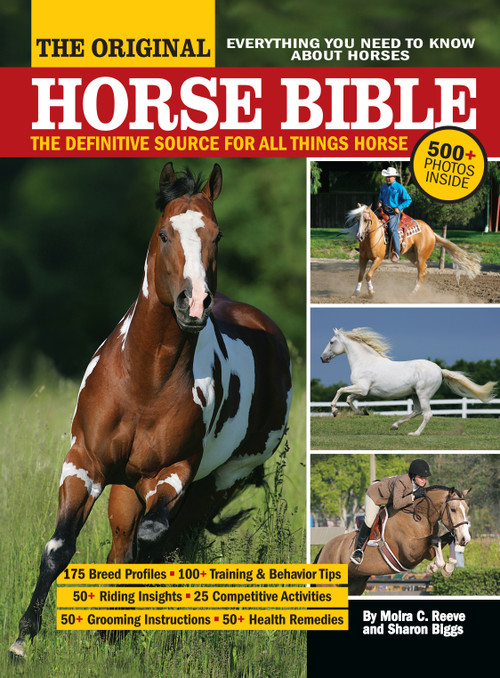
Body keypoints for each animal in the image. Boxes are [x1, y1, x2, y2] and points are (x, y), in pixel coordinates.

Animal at [9, 162, 292, 659]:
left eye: (217, 235)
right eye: (164, 233)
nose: (193, 303)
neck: (144, 381)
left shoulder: (174, 473)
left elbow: (153, 541)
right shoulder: (84, 463)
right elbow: (60, 546)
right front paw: (22, 641)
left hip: (221, 481)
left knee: (171, 541)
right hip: (128, 487)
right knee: (125, 545)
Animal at [315, 486, 471, 595]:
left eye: (467, 510)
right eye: (453, 509)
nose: (465, 539)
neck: (419, 516)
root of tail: (324, 549)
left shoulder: (427, 551)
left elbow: (447, 538)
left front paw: (447, 568)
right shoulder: (409, 553)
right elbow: (435, 539)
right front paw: (433, 567)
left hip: (354, 585)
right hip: (329, 585)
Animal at [320, 327, 496, 436]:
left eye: (331, 341)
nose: (322, 358)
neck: (365, 362)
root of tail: (439, 370)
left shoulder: (361, 389)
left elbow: (341, 391)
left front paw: (334, 411)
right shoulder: (364, 392)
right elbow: (349, 399)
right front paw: (362, 412)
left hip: (423, 394)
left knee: (427, 413)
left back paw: (415, 433)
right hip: (415, 394)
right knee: (417, 411)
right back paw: (395, 425)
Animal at [344, 204, 481, 297]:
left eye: (366, 220)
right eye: (357, 219)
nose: (359, 236)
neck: (374, 236)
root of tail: (431, 232)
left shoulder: (378, 259)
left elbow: (368, 274)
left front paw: (371, 292)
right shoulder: (362, 258)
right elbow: (360, 274)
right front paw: (356, 292)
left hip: (421, 256)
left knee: (421, 272)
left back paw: (412, 292)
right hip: (412, 256)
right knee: (423, 270)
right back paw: (415, 288)